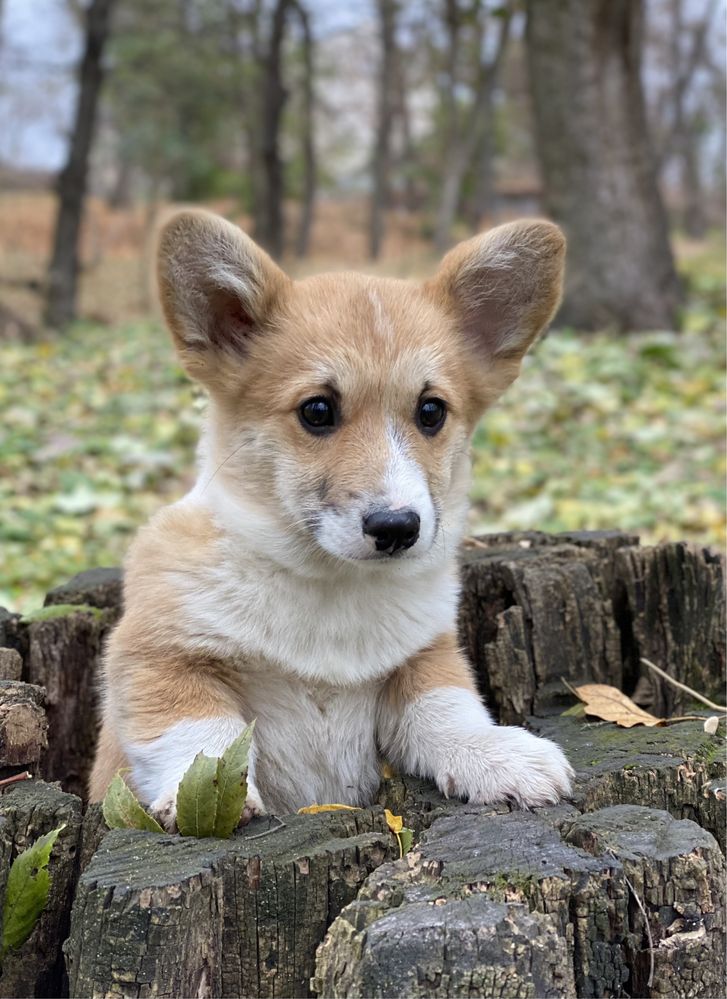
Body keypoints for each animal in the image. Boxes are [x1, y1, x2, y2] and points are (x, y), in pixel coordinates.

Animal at [88, 207, 576, 824]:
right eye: (317, 410)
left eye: (431, 411)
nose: (397, 528)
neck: (331, 585)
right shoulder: (156, 655)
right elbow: (198, 731)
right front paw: (205, 798)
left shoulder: (424, 655)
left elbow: (446, 708)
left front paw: (498, 755)